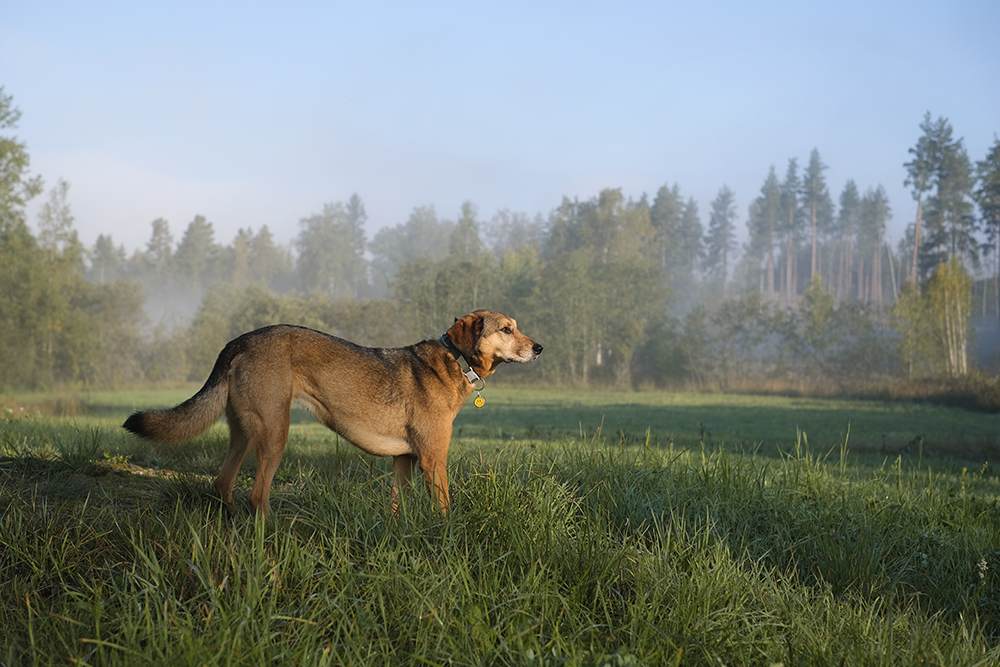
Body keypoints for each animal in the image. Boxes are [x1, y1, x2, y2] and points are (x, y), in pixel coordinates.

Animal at [122, 310, 544, 516]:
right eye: (506, 329)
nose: (540, 347)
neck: (455, 361)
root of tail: (239, 341)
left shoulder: (404, 461)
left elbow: (399, 509)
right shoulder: (432, 460)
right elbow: (444, 510)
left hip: (244, 432)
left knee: (223, 483)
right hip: (275, 434)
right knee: (257, 496)